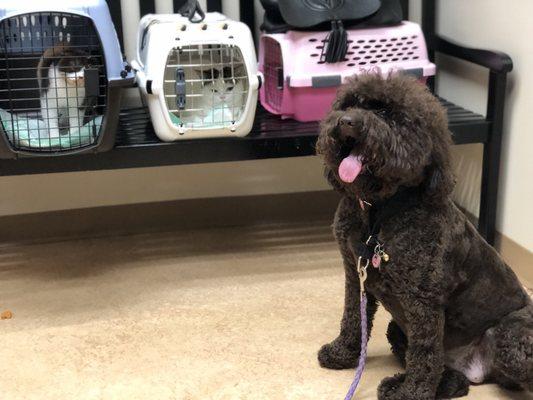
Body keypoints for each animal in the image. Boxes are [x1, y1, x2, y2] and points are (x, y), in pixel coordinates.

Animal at [316, 73, 532, 398]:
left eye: (386, 113)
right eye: (350, 104)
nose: (347, 122)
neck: (379, 213)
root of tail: (480, 370)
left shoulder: (422, 302)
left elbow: (424, 353)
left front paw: (413, 392)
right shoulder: (356, 277)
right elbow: (353, 318)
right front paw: (342, 353)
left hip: (512, 333)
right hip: (397, 327)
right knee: (453, 378)